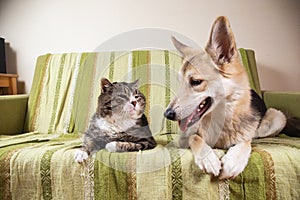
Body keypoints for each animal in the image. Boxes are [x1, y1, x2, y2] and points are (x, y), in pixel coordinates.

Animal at [165, 16, 288, 180]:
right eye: (180, 82)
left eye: (196, 82)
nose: (167, 114)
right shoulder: (183, 138)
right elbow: (195, 137)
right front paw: (207, 158)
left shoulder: (245, 137)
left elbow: (245, 142)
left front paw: (234, 161)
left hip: (278, 118)